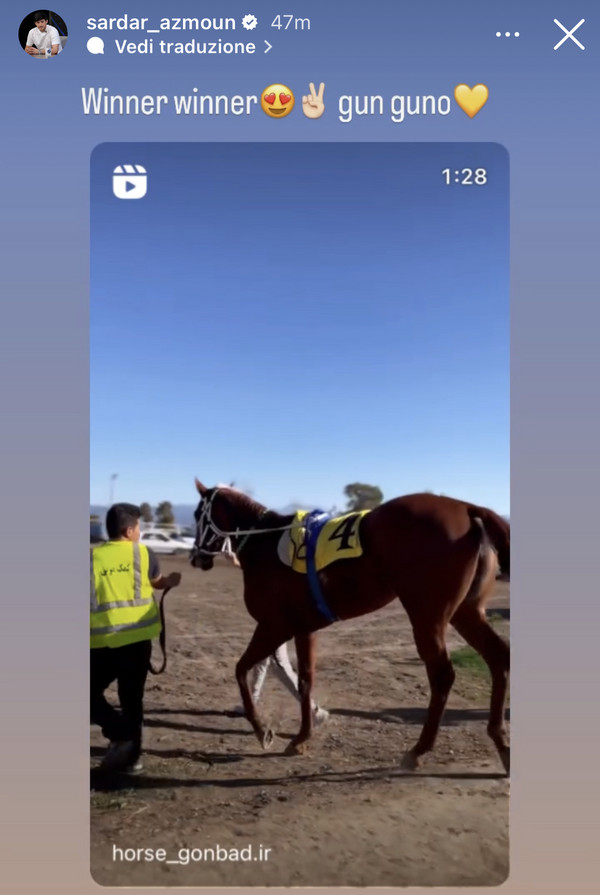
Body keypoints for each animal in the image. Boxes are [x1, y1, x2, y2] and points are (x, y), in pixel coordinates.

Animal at [190, 479, 510, 774]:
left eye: (197, 514)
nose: (196, 557)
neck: (265, 544)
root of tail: (467, 508)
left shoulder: (273, 626)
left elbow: (241, 670)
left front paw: (261, 730)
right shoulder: (304, 628)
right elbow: (305, 680)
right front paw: (302, 737)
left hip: (427, 617)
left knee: (443, 675)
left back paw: (418, 750)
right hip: (466, 612)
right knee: (498, 658)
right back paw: (500, 741)